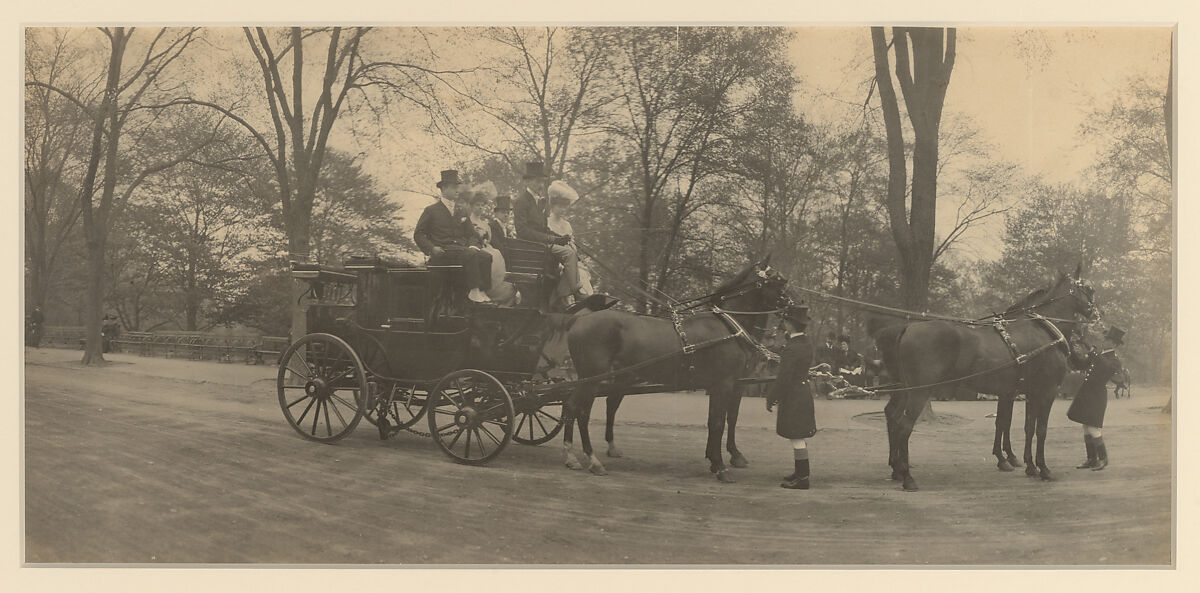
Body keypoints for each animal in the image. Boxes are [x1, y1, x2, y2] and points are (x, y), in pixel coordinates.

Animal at [552, 258, 787, 482]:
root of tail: (578, 319)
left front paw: (716, 460)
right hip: (591, 378)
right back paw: (590, 460)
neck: (727, 327)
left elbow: (718, 420)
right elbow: (719, 423)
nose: (795, 307)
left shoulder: (723, 385)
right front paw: (721, 467)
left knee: (579, 407)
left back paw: (575, 456)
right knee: (579, 410)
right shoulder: (725, 384)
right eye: (779, 281)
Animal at [873, 268, 1099, 492]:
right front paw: (1042, 468)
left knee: (893, 417)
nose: (1097, 315)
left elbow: (1023, 426)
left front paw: (1027, 465)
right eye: (1089, 289)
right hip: (919, 392)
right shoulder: (1046, 391)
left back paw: (897, 469)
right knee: (904, 426)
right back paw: (908, 478)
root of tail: (908, 328)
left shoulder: (1026, 392)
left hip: (905, 390)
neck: (1041, 329)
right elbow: (1039, 429)